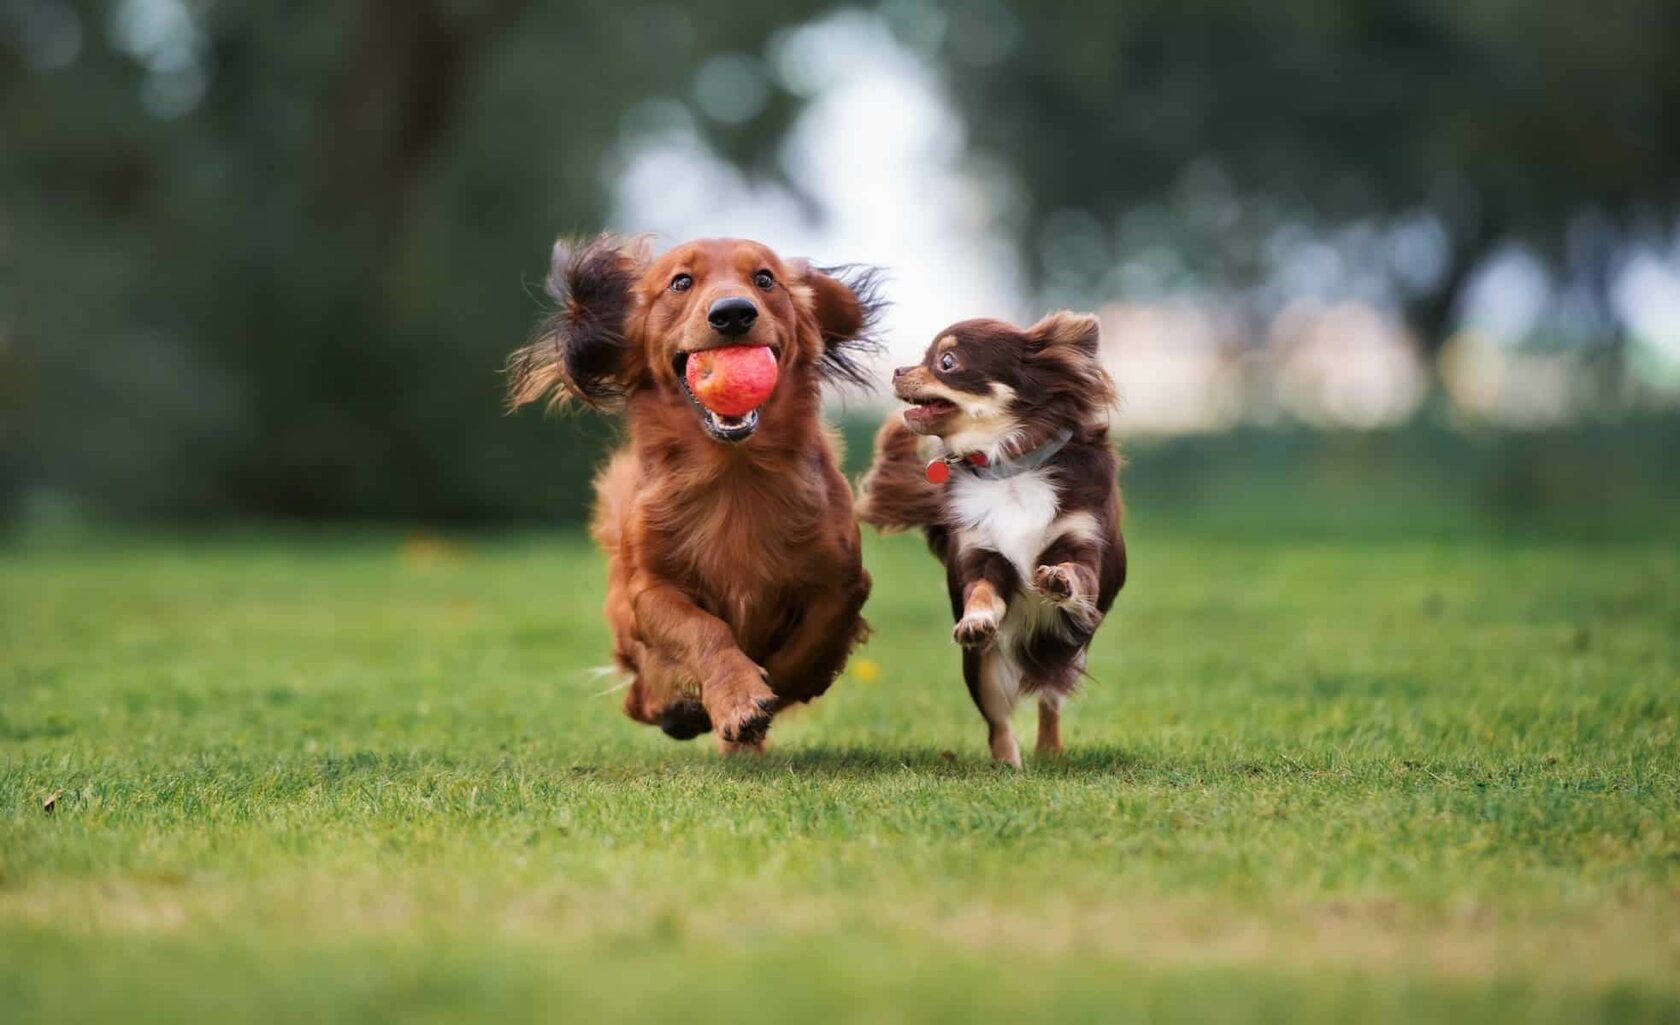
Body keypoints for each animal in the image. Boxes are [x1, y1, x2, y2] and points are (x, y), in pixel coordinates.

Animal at [507, 236, 880, 749]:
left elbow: (811, 642)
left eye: (765, 278)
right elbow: (704, 630)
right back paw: (679, 709)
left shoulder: (842, 580)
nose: (733, 313)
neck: (733, 474)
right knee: (638, 695)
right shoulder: (650, 589)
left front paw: (773, 689)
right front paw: (737, 696)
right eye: (681, 282)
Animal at [853, 315, 1128, 762]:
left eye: (946, 362)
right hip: (982, 670)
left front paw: (1060, 580)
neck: (1008, 468)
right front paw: (977, 619)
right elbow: (982, 591)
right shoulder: (981, 555)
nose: (897, 370)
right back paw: (1007, 764)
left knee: (1049, 700)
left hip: (1065, 651)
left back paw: (1049, 750)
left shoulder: (1084, 544)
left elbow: (1077, 572)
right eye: (925, 357)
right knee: (998, 722)